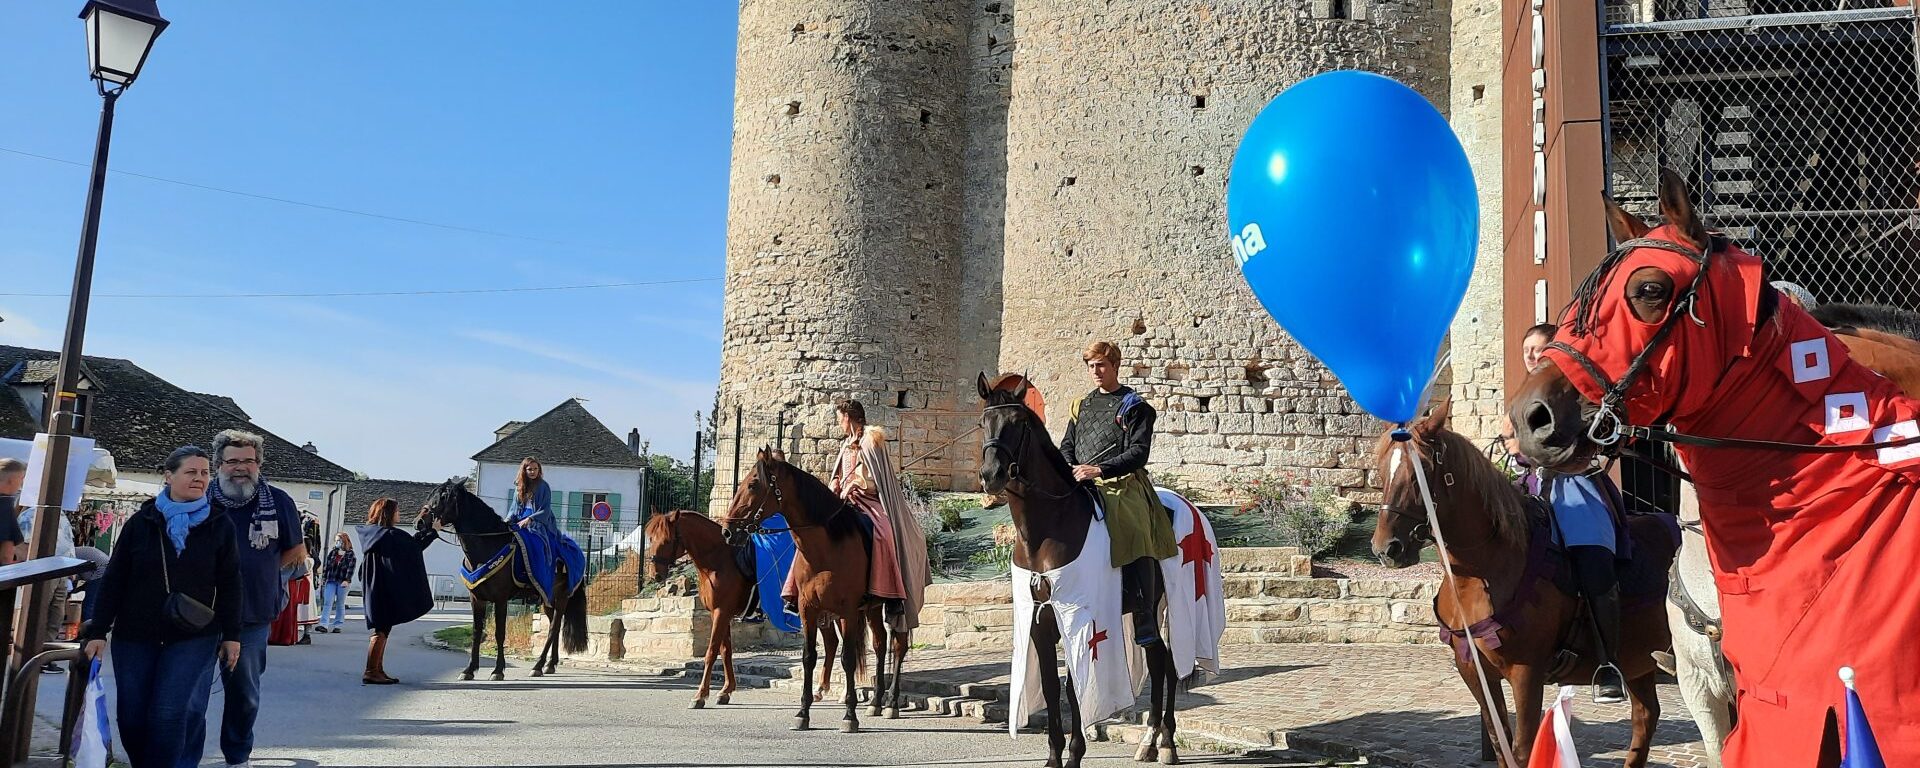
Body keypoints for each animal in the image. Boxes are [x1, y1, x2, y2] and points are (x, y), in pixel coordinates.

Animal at [408, 480, 579, 683]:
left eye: (444, 497)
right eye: (431, 496)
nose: (419, 522)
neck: (486, 548)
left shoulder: (500, 599)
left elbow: (499, 633)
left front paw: (498, 670)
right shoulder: (477, 599)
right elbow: (476, 632)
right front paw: (469, 670)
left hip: (560, 598)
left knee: (553, 629)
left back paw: (537, 666)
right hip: (546, 600)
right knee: (555, 627)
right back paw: (549, 664)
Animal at [721, 453, 906, 733]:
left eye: (753, 484)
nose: (728, 531)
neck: (825, 548)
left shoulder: (848, 610)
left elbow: (848, 659)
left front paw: (849, 716)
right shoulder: (808, 610)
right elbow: (809, 657)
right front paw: (803, 713)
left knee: (898, 645)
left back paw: (892, 703)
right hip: (872, 608)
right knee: (880, 643)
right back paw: (876, 702)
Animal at [983, 376, 1205, 768]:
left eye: (1018, 423)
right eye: (984, 422)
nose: (990, 475)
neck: (1049, 529)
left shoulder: (1080, 621)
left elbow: (1074, 686)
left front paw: (1074, 753)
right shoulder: (1040, 621)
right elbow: (1051, 686)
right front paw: (1054, 756)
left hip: (1167, 606)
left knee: (1167, 661)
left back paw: (1166, 743)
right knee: (1160, 661)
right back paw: (1151, 742)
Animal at [1374, 401, 1674, 768]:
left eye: (1420, 471)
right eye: (1382, 470)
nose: (1386, 549)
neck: (1480, 574)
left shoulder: (1526, 674)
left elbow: (1522, 749)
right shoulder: (1475, 672)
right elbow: (1500, 744)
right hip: (1640, 662)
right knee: (1645, 718)